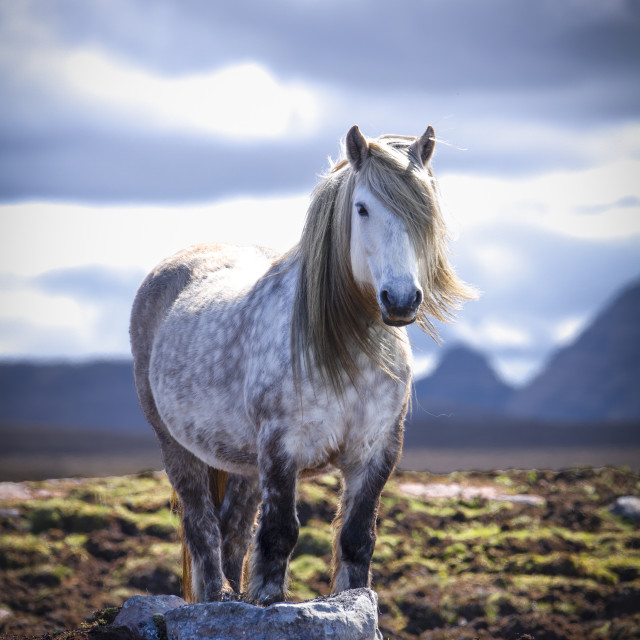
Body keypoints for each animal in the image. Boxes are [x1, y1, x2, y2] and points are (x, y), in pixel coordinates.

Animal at [130, 124, 472, 604]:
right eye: (362, 208)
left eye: (428, 210)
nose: (401, 300)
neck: (346, 352)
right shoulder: (281, 450)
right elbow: (278, 535)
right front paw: (269, 600)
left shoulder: (376, 453)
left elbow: (357, 538)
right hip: (177, 447)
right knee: (203, 528)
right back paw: (217, 596)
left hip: (242, 462)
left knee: (234, 529)